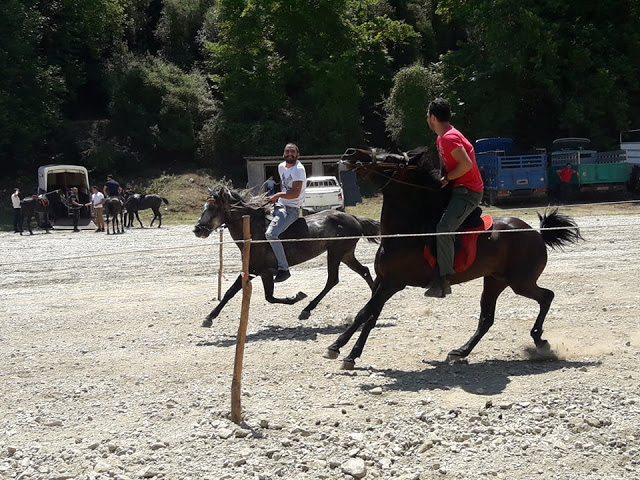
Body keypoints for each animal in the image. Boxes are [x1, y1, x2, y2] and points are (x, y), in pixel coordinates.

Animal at [191, 186, 380, 324]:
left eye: (213, 207)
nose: (197, 229)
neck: (253, 230)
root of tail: (353, 217)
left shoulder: (252, 270)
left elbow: (230, 291)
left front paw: (209, 317)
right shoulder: (265, 272)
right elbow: (270, 297)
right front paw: (295, 297)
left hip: (336, 253)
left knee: (332, 279)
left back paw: (307, 310)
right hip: (346, 254)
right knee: (364, 271)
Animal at [324, 148, 584, 370]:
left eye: (390, 158)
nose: (351, 153)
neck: (406, 232)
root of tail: (537, 233)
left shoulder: (393, 283)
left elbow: (366, 312)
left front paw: (341, 349)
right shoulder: (382, 281)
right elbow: (369, 315)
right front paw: (347, 351)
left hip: (520, 282)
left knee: (546, 297)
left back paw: (539, 339)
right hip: (495, 281)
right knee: (486, 319)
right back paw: (460, 351)